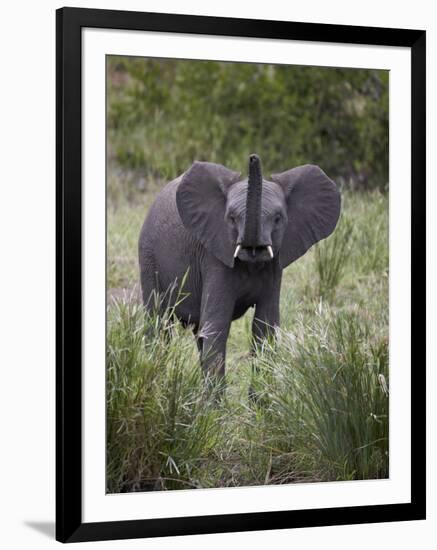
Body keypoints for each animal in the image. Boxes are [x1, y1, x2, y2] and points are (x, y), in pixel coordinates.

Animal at [139, 154, 340, 384]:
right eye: (232, 218)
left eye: (278, 218)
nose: (253, 157)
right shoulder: (215, 255)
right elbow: (217, 326)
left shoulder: (275, 266)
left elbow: (265, 327)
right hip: (148, 256)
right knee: (159, 323)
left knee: (197, 331)